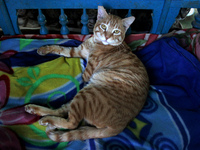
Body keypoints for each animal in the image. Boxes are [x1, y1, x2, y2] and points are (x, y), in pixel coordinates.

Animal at [24, 5, 148, 142]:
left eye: (116, 31)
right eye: (104, 26)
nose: (107, 37)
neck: (95, 42)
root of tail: (120, 127)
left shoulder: (87, 73)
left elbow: (81, 76)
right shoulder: (76, 51)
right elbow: (59, 48)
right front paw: (44, 49)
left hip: (86, 95)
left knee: (72, 123)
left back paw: (47, 121)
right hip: (82, 97)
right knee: (61, 111)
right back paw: (34, 110)